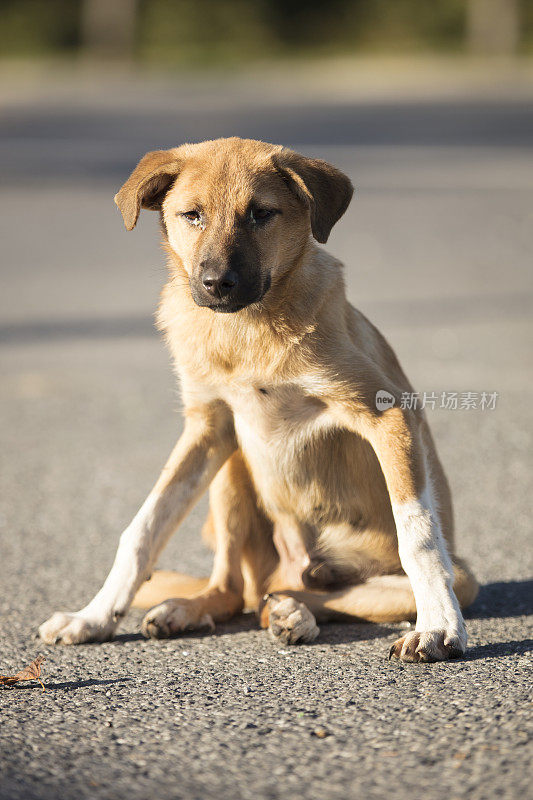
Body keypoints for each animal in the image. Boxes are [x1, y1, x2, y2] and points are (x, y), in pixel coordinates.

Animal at [39, 138, 476, 664]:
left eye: (261, 214)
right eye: (192, 215)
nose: (216, 283)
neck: (245, 330)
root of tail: (286, 569)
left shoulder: (388, 415)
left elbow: (419, 534)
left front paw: (438, 626)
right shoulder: (207, 426)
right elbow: (144, 529)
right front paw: (94, 617)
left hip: (445, 580)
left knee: (305, 595)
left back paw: (294, 612)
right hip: (230, 465)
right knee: (236, 590)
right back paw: (196, 608)